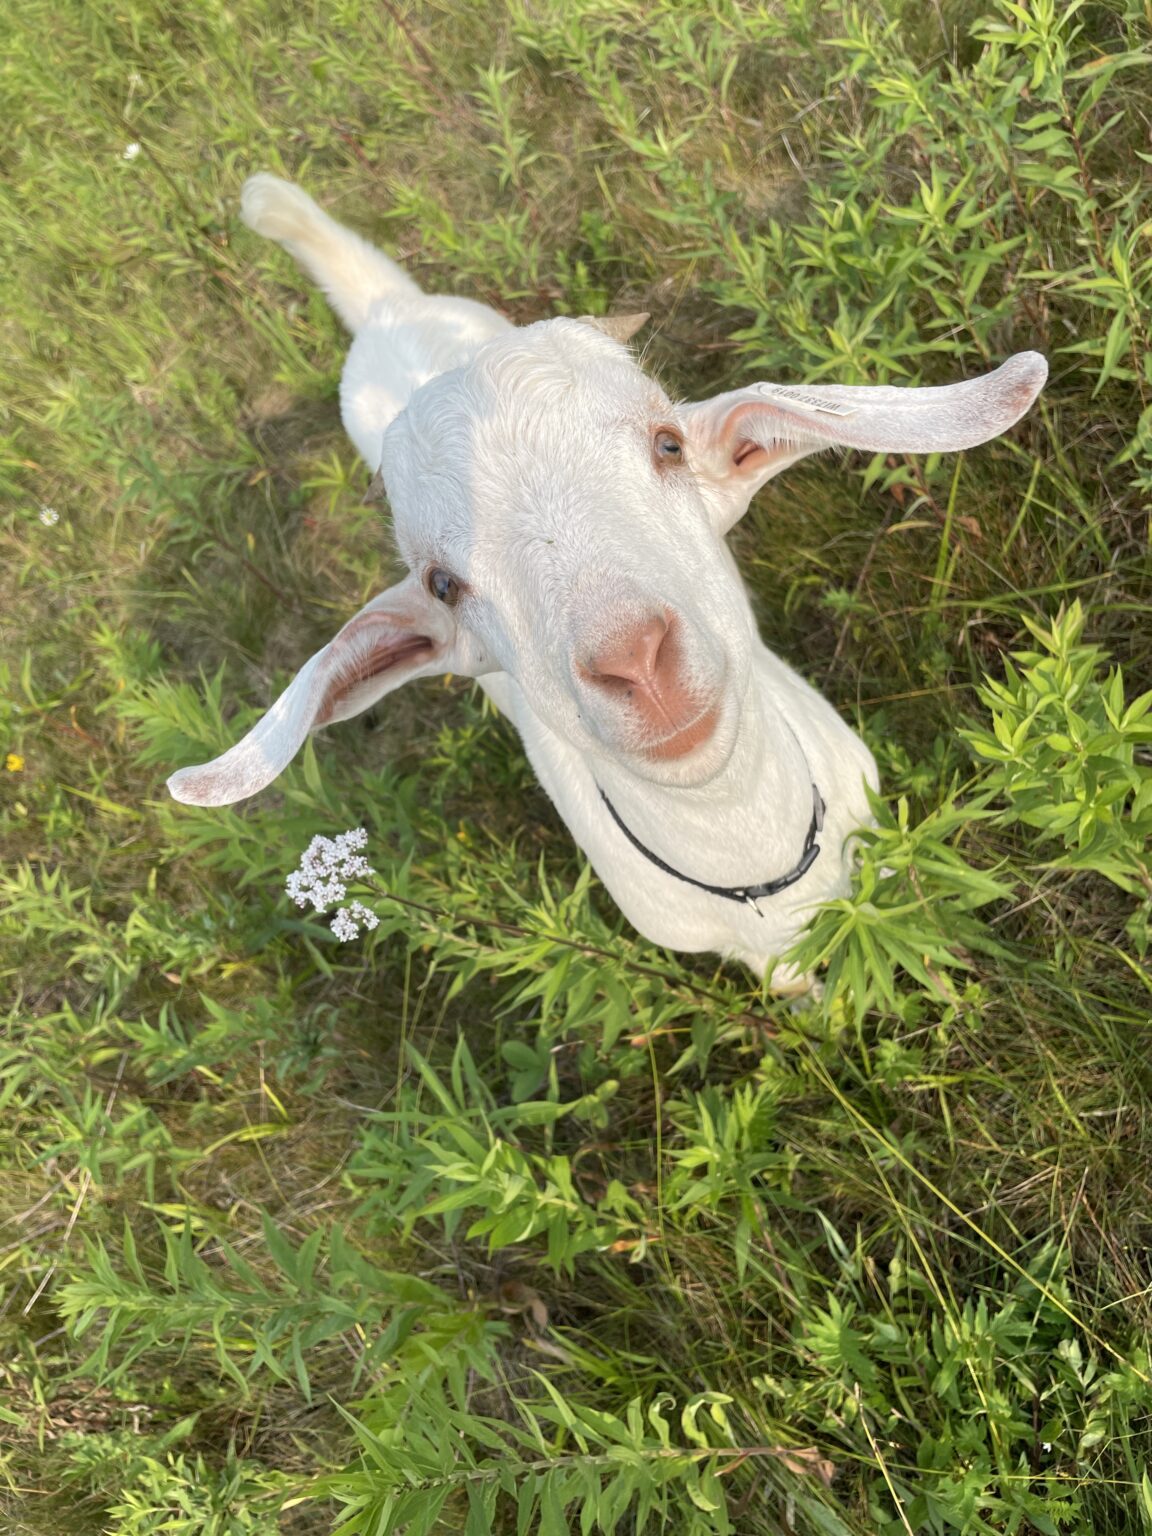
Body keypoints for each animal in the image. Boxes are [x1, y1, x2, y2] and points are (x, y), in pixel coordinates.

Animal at [168, 175, 1046, 989]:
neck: (760, 861)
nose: (634, 659)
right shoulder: (760, 959)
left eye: (669, 445)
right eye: (443, 583)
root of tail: (383, 307)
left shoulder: (881, 843)